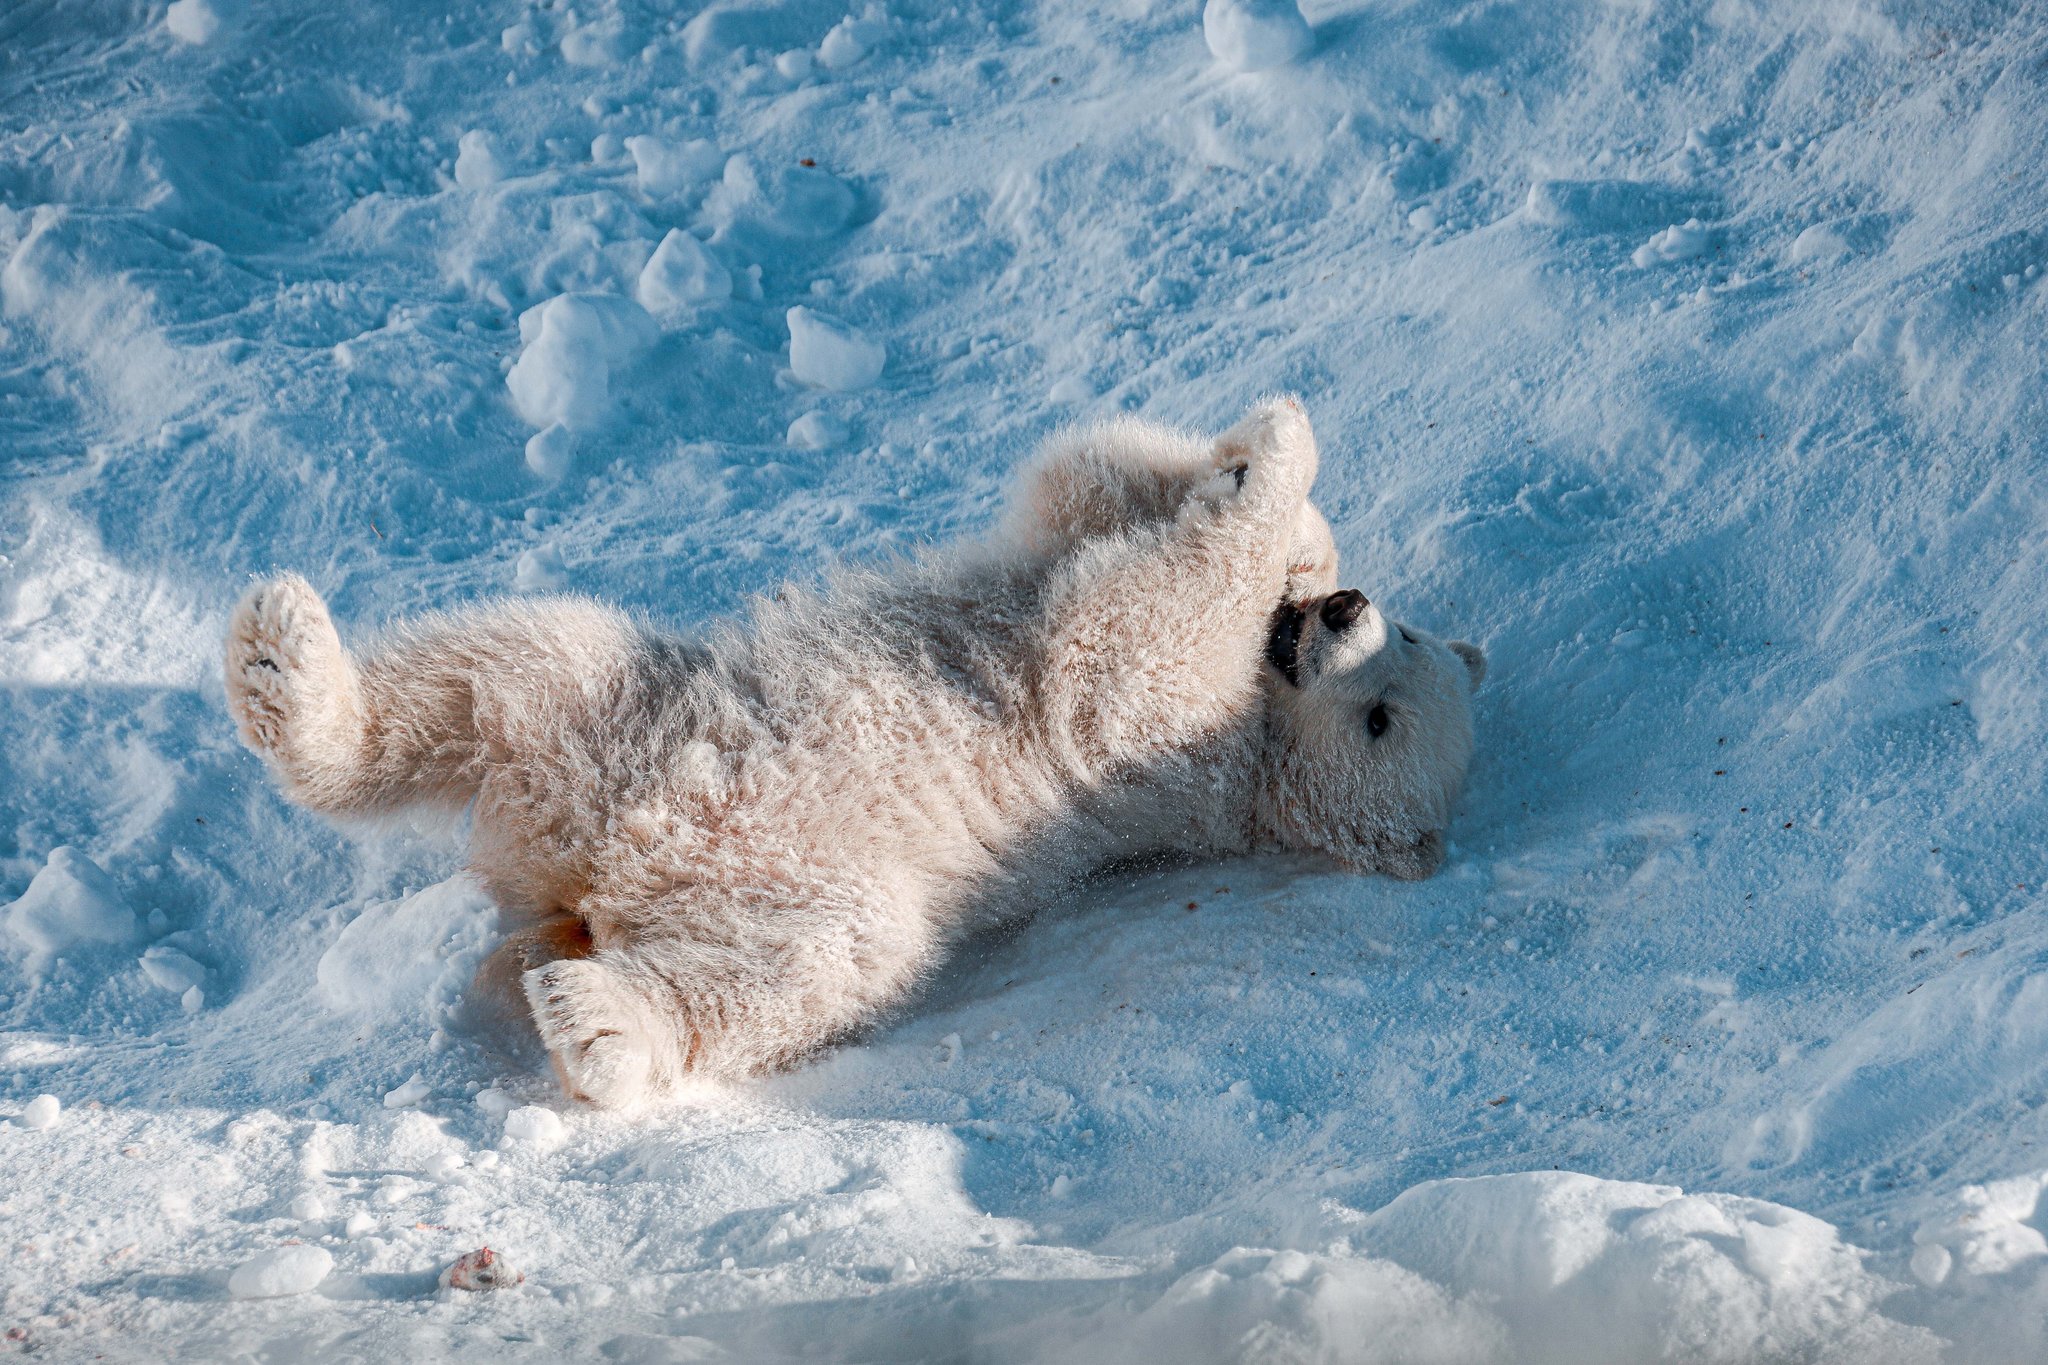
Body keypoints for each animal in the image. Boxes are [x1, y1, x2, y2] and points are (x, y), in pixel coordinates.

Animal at [228, 397, 1490, 1113]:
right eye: (1409, 643)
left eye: (1384, 718)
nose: (1345, 613)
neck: (1263, 747)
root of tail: (594, 878)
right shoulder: (1041, 568)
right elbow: (1079, 483)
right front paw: (1281, 495)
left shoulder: (1175, 757)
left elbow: (1128, 639)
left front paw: (1276, 474)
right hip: (614, 716)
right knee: (509, 665)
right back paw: (280, 659)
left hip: (809, 874)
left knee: (812, 965)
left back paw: (596, 1025)